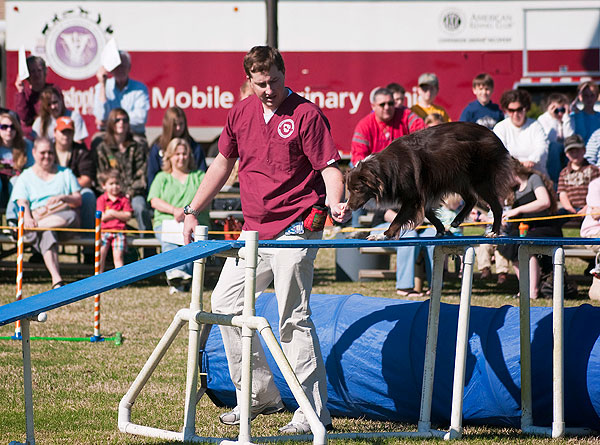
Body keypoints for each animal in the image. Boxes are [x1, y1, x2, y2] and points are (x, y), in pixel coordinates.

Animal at [344, 121, 512, 238]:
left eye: (357, 189)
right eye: (349, 190)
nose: (348, 207)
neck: (384, 169)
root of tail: (493, 134)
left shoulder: (413, 197)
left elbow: (397, 220)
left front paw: (383, 235)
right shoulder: (424, 193)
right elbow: (428, 213)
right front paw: (441, 230)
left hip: (479, 180)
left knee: (496, 206)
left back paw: (494, 232)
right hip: (456, 177)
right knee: (471, 199)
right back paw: (457, 220)